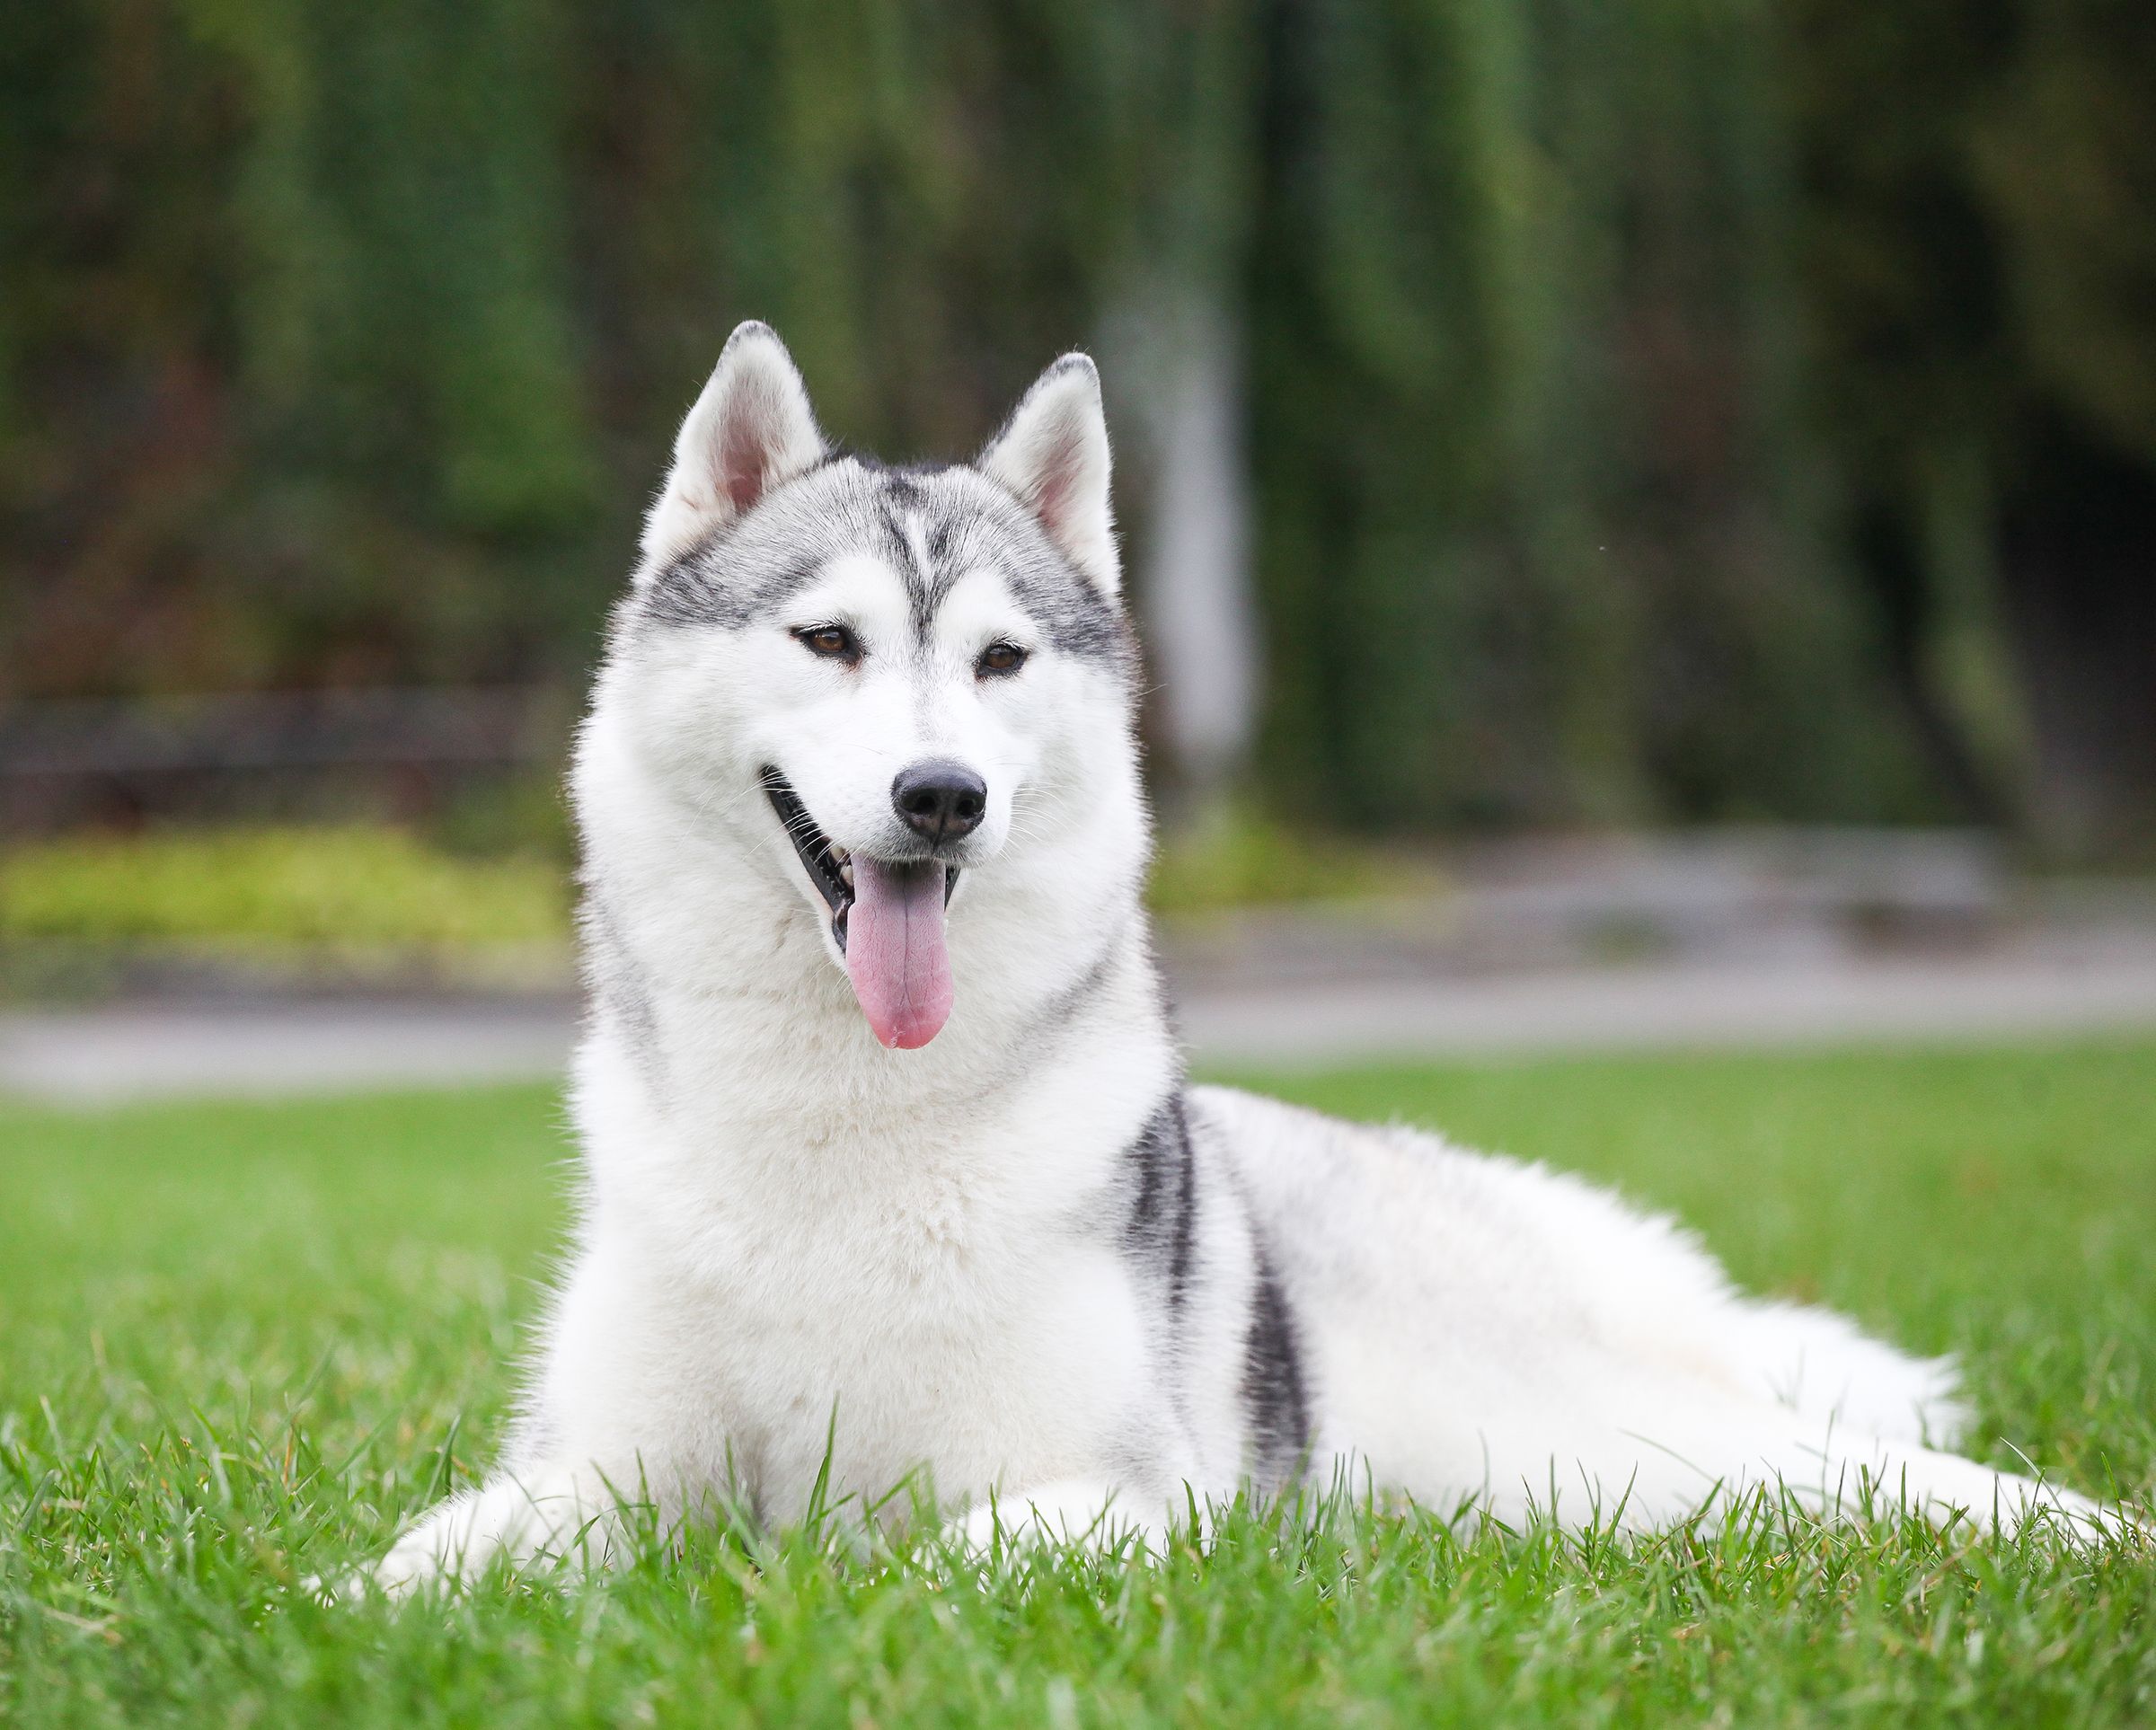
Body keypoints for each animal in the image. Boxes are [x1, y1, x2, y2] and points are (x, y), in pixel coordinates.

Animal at [367, 317, 2104, 1587]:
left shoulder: (1129, 1498)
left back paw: (2090, 1532)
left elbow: (900, 1566)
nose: (944, 795)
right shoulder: (592, 1471)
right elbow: (419, 1566)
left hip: (1622, 1447)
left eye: (999, 660)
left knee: (1867, 1471)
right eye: (829, 640)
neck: (839, 1124)